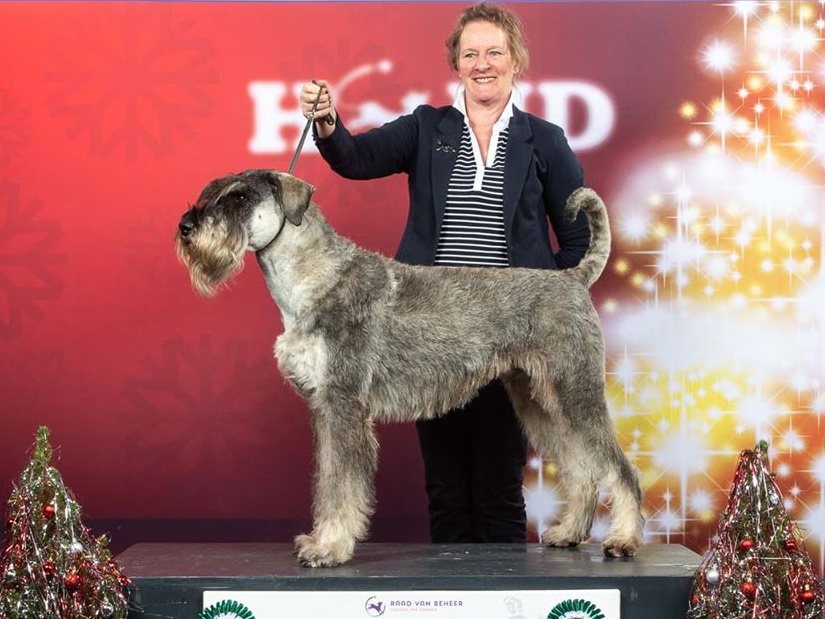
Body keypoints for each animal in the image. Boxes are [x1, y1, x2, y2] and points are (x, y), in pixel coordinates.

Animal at [175, 169, 644, 567]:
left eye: (239, 197)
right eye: (213, 190)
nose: (186, 227)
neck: (314, 279)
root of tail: (571, 279)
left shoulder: (345, 405)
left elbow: (342, 484)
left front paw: (330, 547)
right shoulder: (324, 409)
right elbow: (326, 480)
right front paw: (319, 539)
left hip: (575, 392)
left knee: (617, 467)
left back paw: (623, 539)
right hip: (539, 400)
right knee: (582, 469)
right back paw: (569, 532)